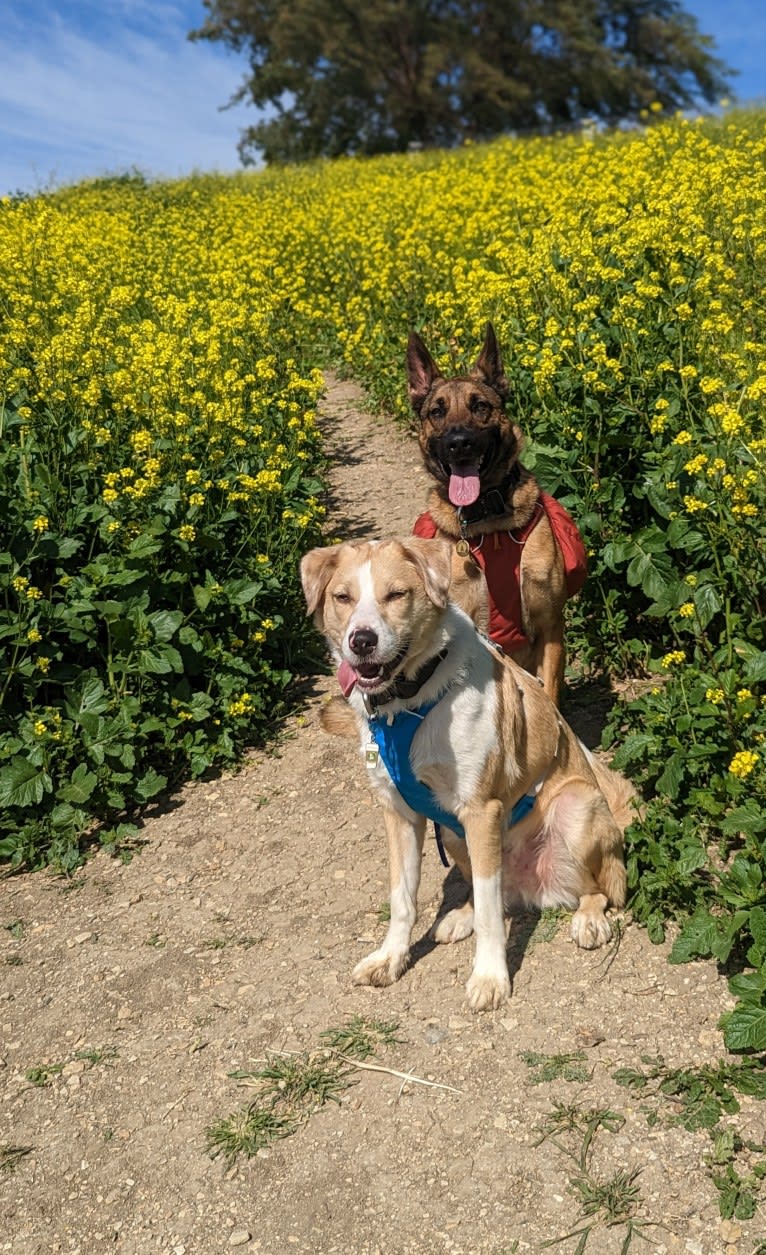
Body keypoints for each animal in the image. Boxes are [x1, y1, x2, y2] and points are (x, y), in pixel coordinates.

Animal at [298, 534, 625, 1014]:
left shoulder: (481, 810)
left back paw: (587, 919)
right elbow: (403, 899)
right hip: (452, 834)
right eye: (343, 597)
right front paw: (391, 959)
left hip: (575, 806)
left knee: (594, 888)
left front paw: (490, 977)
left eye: (397, 595)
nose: (361, 641)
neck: (407, 703)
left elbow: (491, 916)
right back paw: (460, 917)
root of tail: (536, 888)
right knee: (492, 894)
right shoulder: (400, 814)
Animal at [406, 323, 585, 707]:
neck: (488, 521)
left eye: (480, 406)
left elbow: (549, 694)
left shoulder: (550, 629)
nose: (459, 443)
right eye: (437, 412)